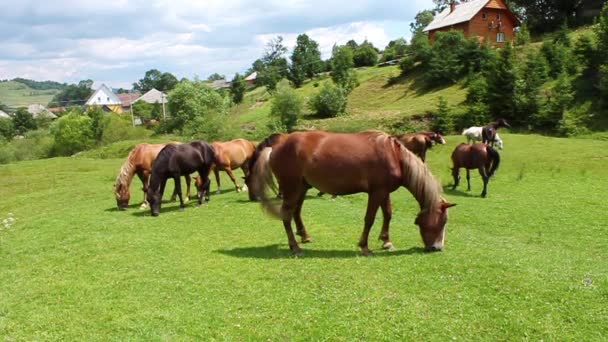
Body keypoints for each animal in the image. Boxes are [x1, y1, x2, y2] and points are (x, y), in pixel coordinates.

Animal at [248, 131, 456, 256]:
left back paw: (304, 236)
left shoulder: (384, 191)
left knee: (296, 212)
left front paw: (386, 241)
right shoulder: (377, 192)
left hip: (302, 187)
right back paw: (295, 247)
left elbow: (388, 214)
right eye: (442, 222)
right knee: (287, 215)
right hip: (292, 188)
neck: (394, 156)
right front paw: (365, 246)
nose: (437, 247)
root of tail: (278, 145)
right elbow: (370, 218)